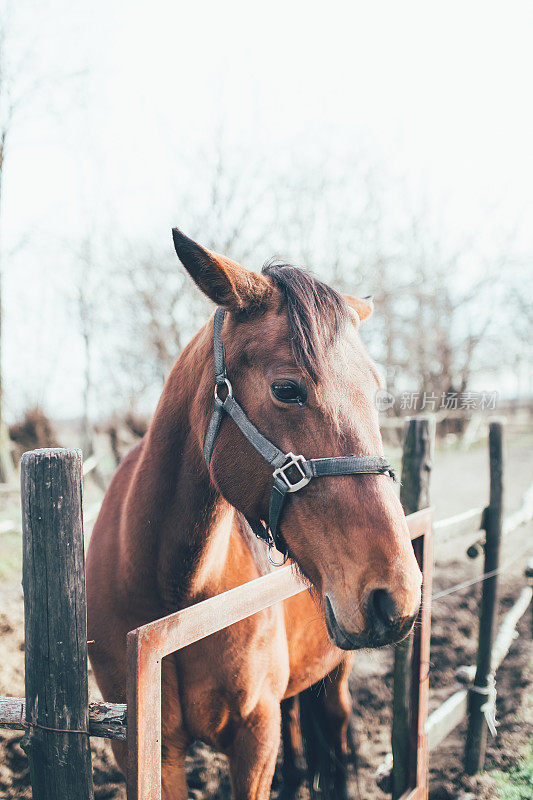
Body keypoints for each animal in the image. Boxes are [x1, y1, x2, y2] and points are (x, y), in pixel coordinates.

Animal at [86, 227, 420, 800]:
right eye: (287, 389)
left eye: (376, 391)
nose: (395, 594)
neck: (172, 597)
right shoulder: (148, 753)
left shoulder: (254, 736)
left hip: (336, 672)